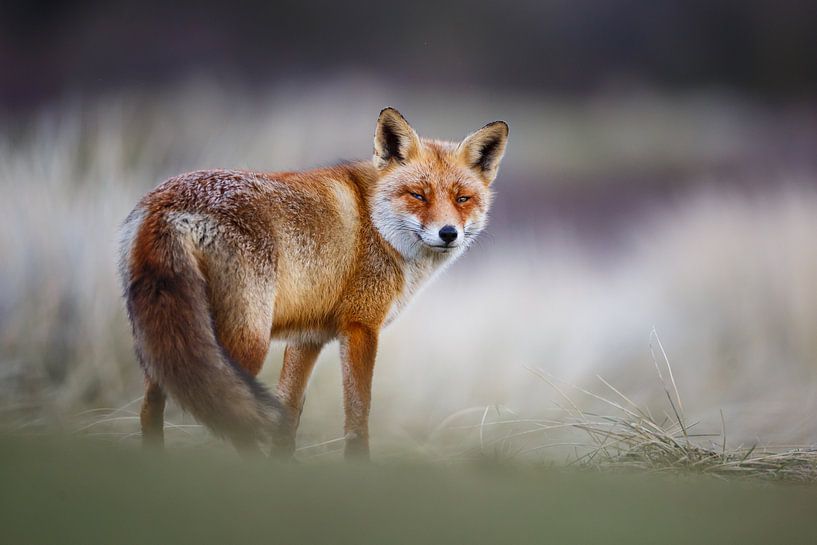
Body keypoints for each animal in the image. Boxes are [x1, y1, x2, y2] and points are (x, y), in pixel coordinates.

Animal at [118, 108, 506, 456]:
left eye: (462, 199)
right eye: (418, 195)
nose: (448, 233)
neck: (376, 226)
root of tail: (165, 203)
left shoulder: (309, 337)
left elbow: (287, 418)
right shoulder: (360, 326)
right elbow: (358, 416)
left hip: (170, 338)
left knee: (151, 408)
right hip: (246, 341)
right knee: (226, 414)